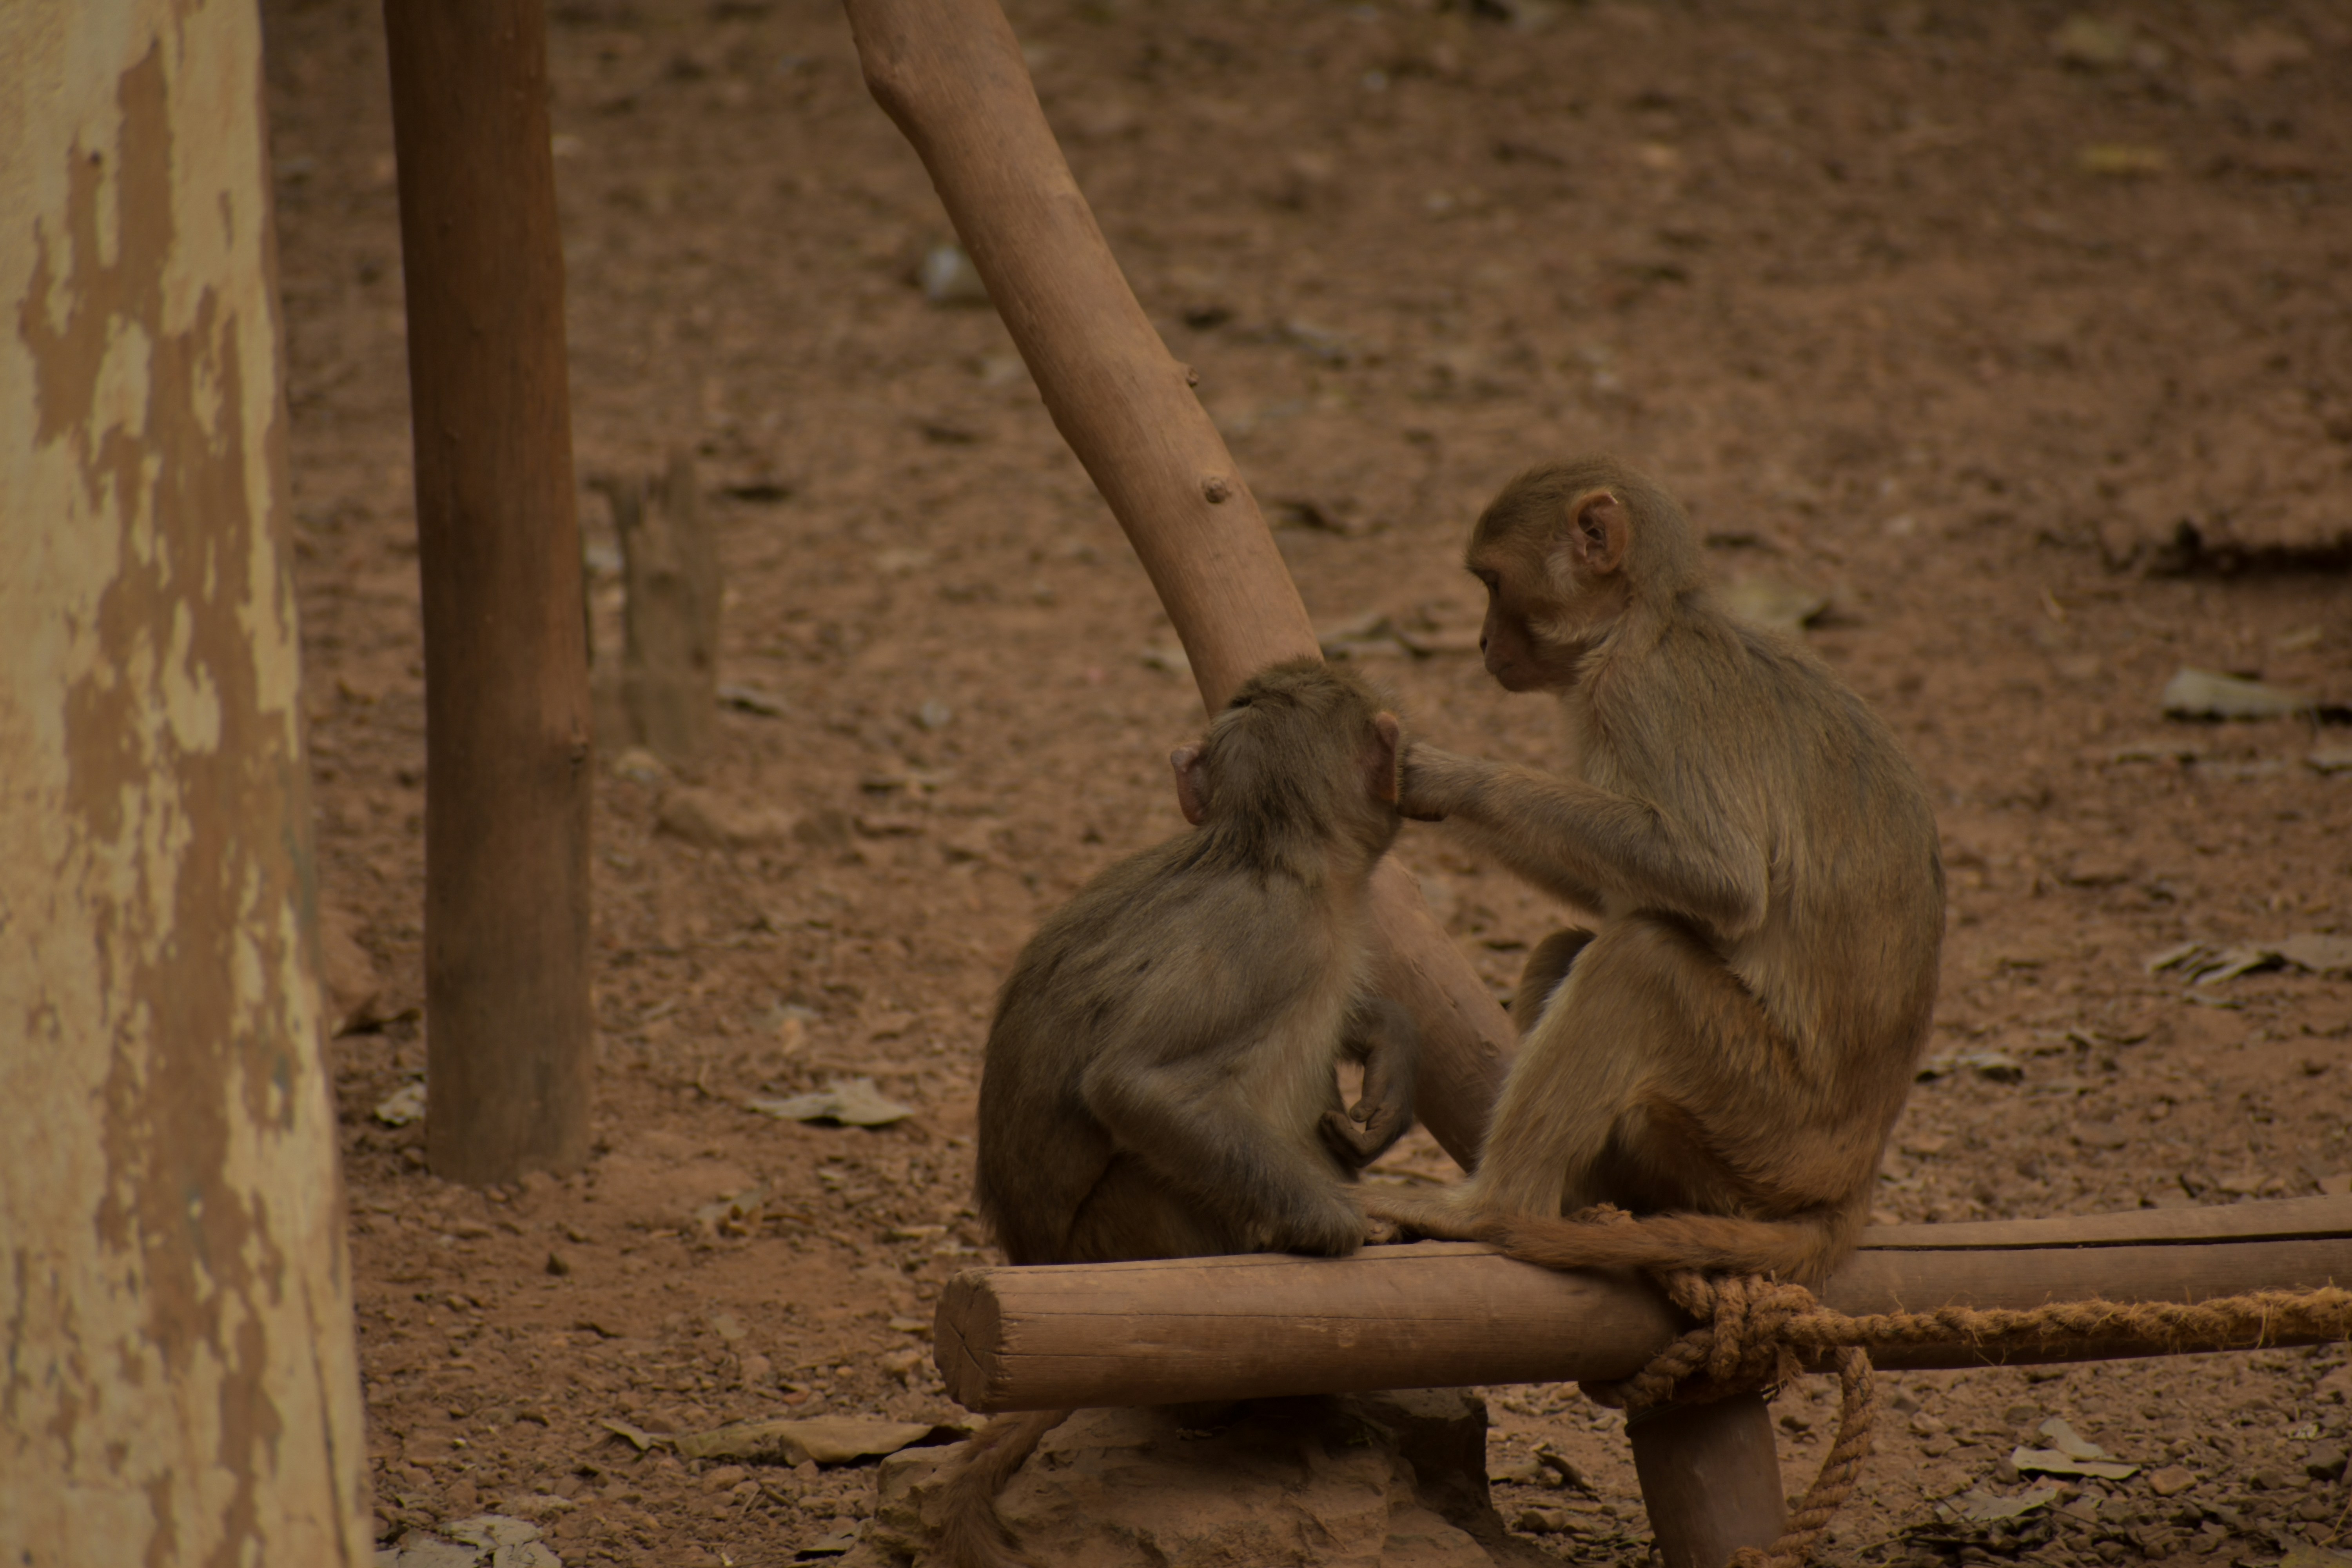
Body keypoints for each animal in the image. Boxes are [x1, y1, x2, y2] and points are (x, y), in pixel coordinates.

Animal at [940, 657, 1420, 1568]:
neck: (1264, 848)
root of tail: (1034, 1260)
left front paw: (1384, 1057)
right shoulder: (1278, 934)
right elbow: (1137, 1083)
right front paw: (1339, 1225)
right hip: (1113, 1244)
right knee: (1155, 1164)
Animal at [1363, 456, 1944, 1292]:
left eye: (1495, 584)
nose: (1479, 641)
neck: (1647, 622)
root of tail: (1850, 1183)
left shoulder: (1639, 693)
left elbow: (1716, 878)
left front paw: (1446, 777)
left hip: (1757, 1125)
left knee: (1639, 961)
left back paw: (1490, 1206)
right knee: (1574, 948)